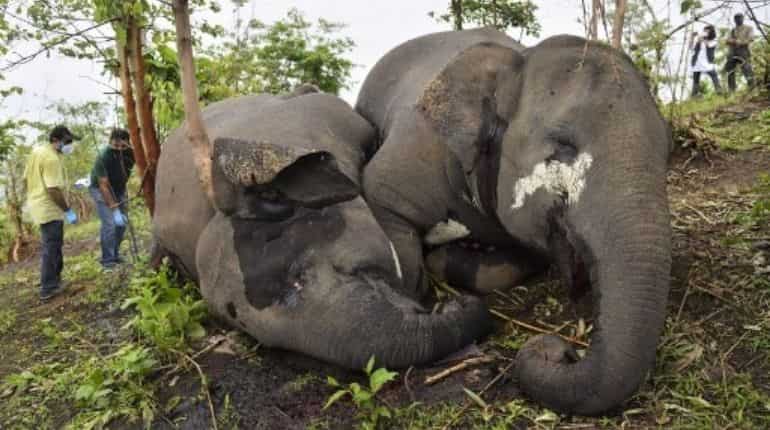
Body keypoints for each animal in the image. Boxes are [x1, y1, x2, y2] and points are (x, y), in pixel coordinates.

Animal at [356, 28, 672, 415]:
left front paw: (451, 256)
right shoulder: (417, 145)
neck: (518, 63)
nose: (562, 350)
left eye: (668, 148)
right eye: (564, 146)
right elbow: (381, 198)